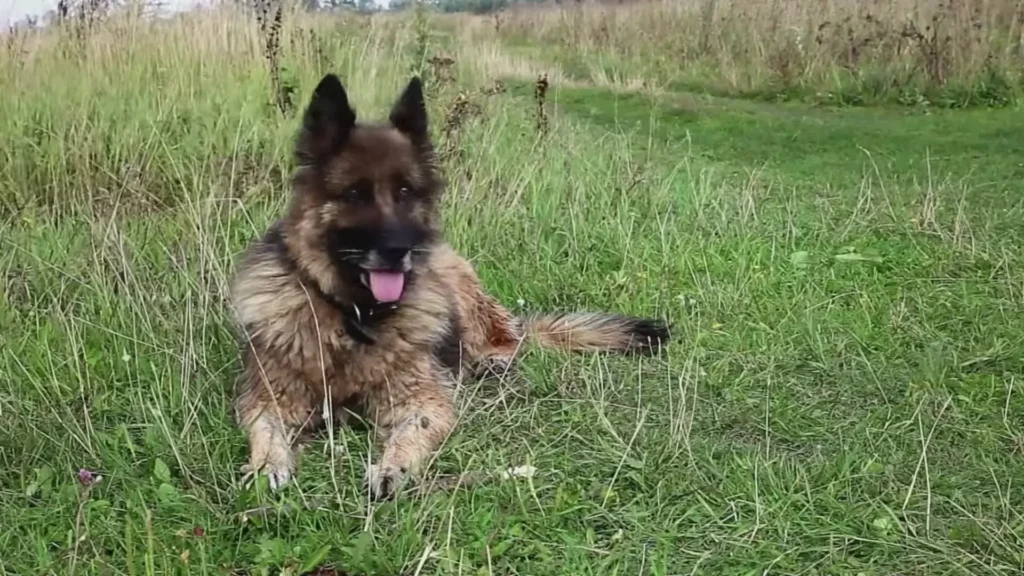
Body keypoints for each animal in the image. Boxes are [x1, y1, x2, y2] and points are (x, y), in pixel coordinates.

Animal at [227, 73, 667, 498]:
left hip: (461, 288)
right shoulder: (270, 397)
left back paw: (495, 360)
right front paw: (267, 465)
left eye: (405, 191)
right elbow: (267, 430)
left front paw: (392, 469)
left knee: (508, 336)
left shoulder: (423, 399)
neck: (355, 316)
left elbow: (411, 432)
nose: (399, 250)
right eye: (354, 194)